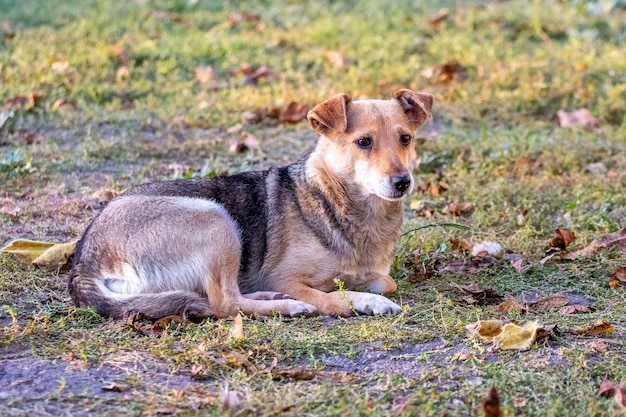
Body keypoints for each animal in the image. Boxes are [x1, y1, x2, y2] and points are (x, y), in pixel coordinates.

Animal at [67, 89, 428, 318]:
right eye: (363, 142)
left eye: (405, 139)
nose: (402, 182)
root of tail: (85, 263)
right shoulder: (283, 277)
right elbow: (332, 296)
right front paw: (362, 301)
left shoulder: (376, 273)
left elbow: (384, 281)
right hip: (216, 219)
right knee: (224, 303)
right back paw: (286, 306)